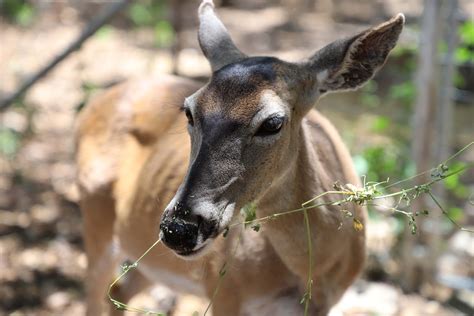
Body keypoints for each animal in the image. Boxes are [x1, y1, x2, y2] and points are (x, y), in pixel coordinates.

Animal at [76, 1, 406, 314]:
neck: (311, 271)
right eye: (189, 110)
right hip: (95, 214)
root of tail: (94, 102)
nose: (178, 229)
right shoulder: (223, 291)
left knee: (118, 292)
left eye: (273, 122)